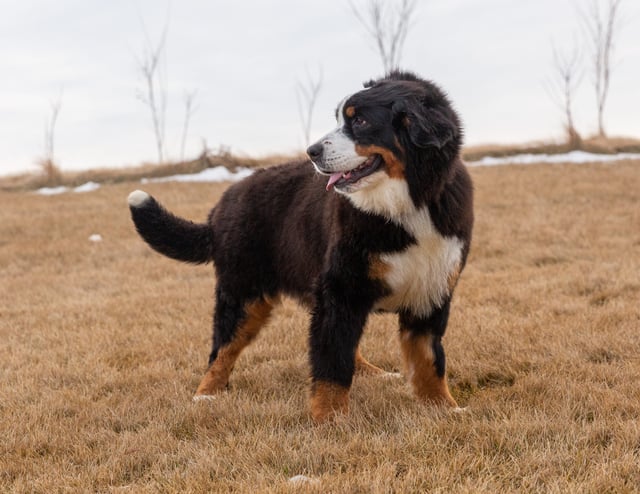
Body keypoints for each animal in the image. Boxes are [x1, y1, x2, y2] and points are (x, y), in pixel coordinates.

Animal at [127, 71, 472, 422]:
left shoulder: (429, 291)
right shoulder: (341, 291)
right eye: (340, 118)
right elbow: (332, 363)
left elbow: (428, 360)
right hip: (244, 295)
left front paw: (443, 408)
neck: (410, 205)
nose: (312, 151)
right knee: (222, 349)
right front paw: (330, 418)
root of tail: (223, 203)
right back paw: (206, 394)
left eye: (360, 120)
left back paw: (373, 373)